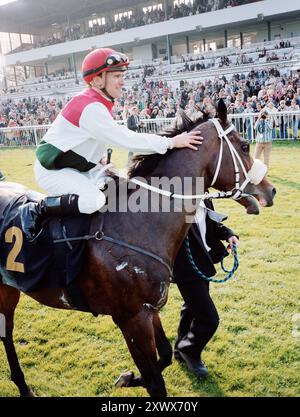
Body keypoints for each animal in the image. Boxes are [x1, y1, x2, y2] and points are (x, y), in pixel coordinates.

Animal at [0, 101, 276, 396]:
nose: (271, 191)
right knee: (6, 332)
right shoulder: (130, 319)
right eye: (245, 146)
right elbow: (156, 382)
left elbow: (164, 356)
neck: (139, 222)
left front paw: (130, 377)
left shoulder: (149, 309)